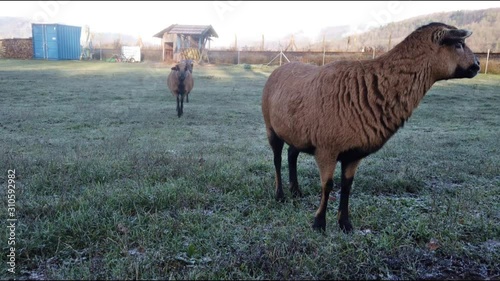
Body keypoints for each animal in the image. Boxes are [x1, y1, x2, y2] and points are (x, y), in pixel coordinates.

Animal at [262, 21, 480, 232]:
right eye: (458, 44)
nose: (477, 65)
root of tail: (279, 69)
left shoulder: (353, 153)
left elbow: (347, 187)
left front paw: (345, 224)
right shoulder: (326, 148)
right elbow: (328, 185)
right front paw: (319, 224)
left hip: (296, 132)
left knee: (291, 154)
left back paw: (296, 192)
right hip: (271, 128)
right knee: (277, 160)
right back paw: (280, 195)